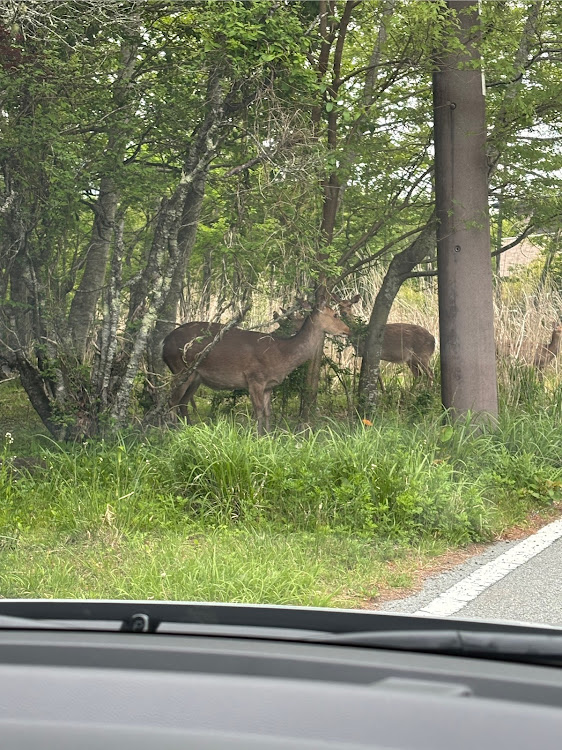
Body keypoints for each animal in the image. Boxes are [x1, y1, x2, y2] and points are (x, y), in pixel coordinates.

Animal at [160, 304, 348, 434]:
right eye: (335, 314)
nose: (348, 330)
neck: (282, 355)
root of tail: (163, 344)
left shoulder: (269, 385)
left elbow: (268, 412)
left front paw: (269, 437)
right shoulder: (255, 378)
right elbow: (258, 411)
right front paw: (257, 437)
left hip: (196, 377)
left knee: (183, 402)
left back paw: (189, 430)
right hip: (180, 368)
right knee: (172, 401)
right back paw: (172, 432)